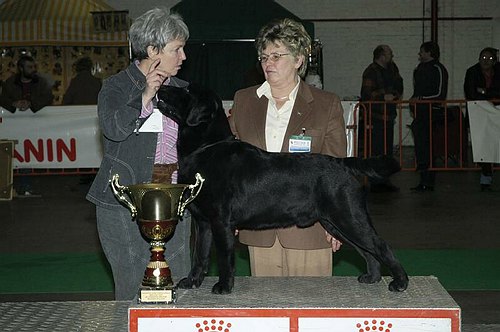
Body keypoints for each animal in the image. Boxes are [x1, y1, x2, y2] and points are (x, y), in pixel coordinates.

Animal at [158, 84, 408, 294]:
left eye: (186, 90)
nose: (162, 86)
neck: (206, 147)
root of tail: (343, 163)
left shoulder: (221, 221)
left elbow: (223, 258)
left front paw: (224, 286)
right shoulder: (203, 222)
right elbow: (199, 255)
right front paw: (192, 281)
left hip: (348, 216)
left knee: (380, 245)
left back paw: (400, 282)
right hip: (336, 223)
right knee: (368, 251)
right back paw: (372, 277)